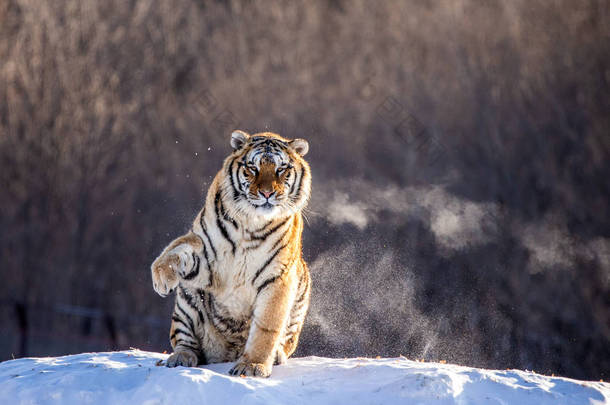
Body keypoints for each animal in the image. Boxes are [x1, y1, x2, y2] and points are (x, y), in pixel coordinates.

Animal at [151, 129, 312, 376]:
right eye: (253, 168)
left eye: (281, 169)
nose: (267, 193)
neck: (252, 223)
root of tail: (225, 353)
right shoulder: (207, 254)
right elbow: (178, 249)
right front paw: (161, 278)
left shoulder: (277, 276)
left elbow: (266, 328)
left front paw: (252, 366)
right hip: (187, 300)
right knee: (183, 340)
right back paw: (180, 358)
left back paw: (274, 356)